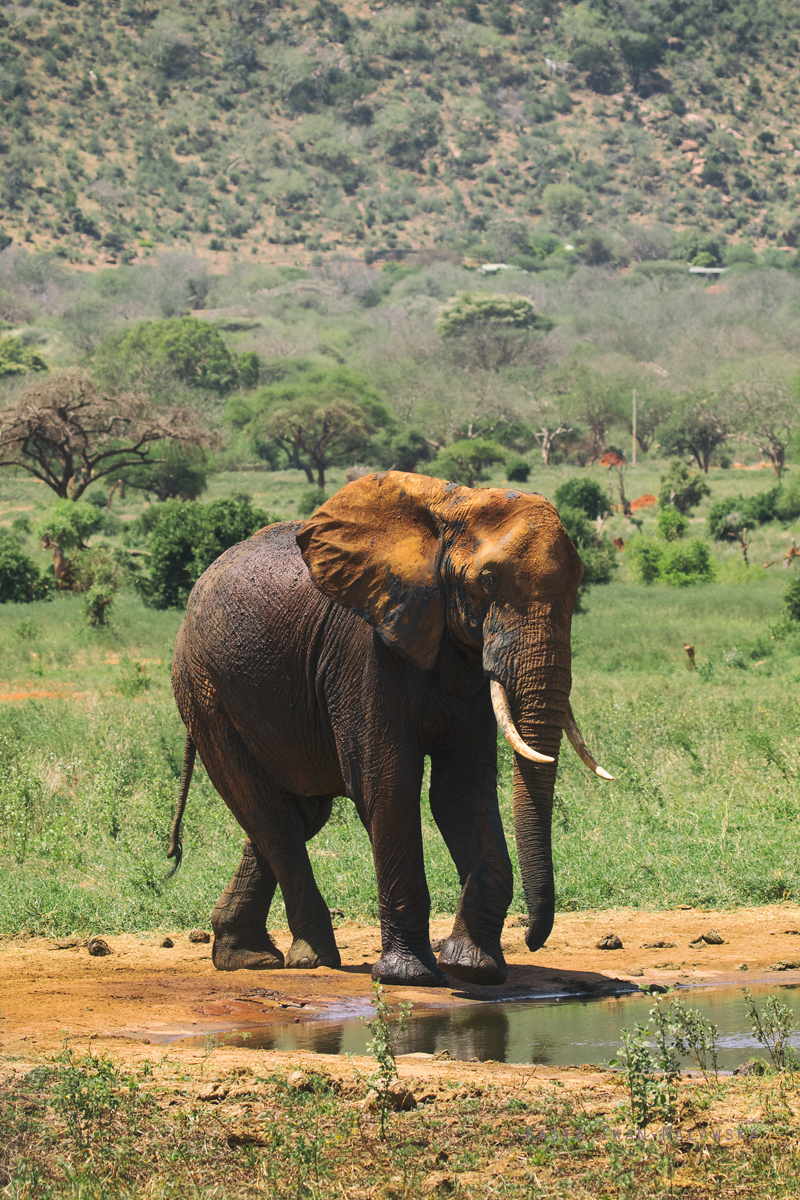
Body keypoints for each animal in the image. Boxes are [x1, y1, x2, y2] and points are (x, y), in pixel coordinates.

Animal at [167, 468, 606, 984]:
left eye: (578, 585)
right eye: (488, 579)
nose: (534, 941)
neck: (451, 509)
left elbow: (461, 792)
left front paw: (474, 969)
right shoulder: (365, 650)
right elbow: (387, 784)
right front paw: (408, 976)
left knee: (296, 813)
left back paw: (246, 958)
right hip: (205, 689)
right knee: (269, 814)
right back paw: (312, 958)